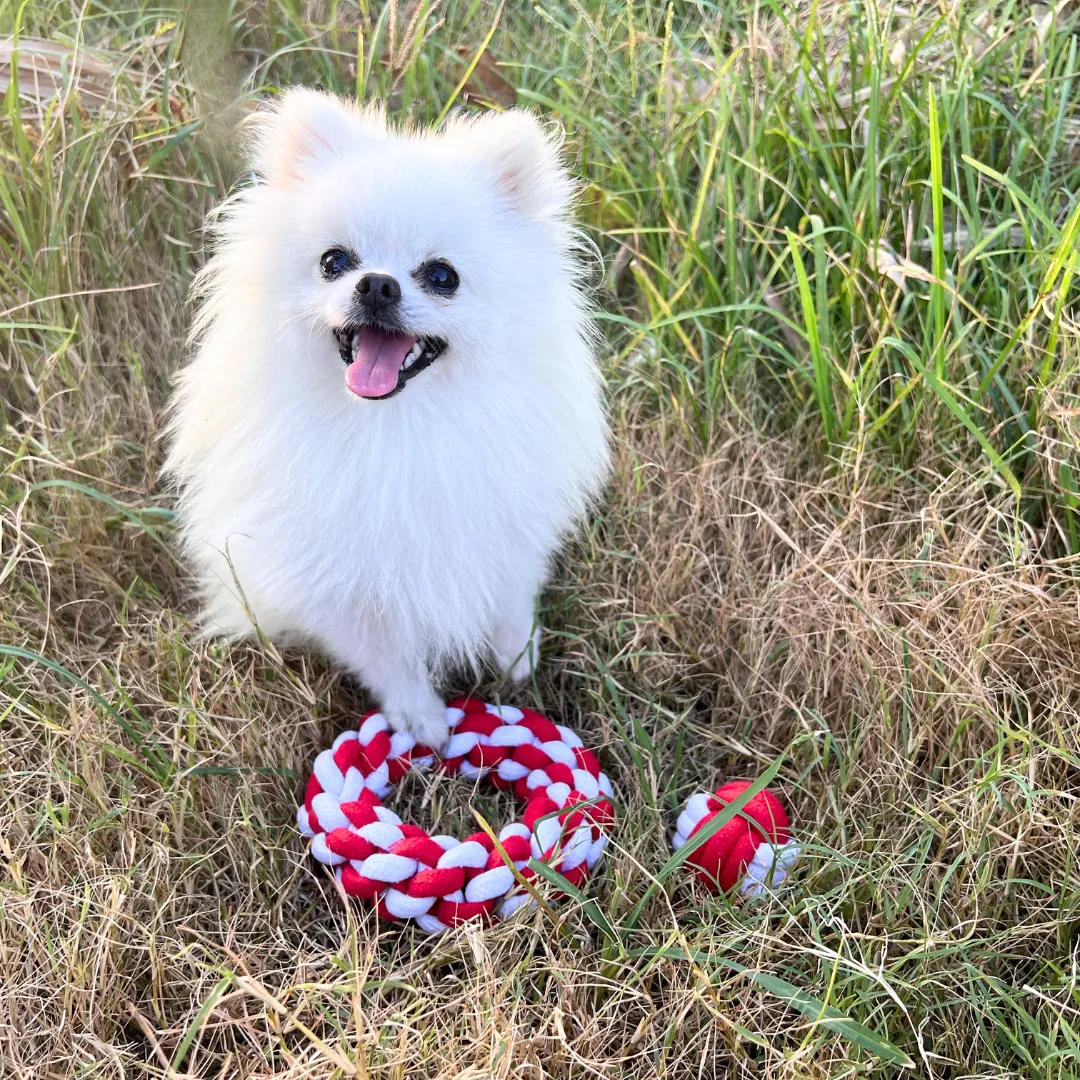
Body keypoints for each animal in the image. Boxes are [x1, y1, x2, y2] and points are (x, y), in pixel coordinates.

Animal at [166, 90, 609, 751]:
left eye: (443, 275)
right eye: (334, 261)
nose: (376, 284)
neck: (398, 429)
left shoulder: (507, 526)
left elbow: (512, 596)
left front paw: (517, 659)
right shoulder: (338, 578)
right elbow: (385, 656)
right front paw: (421, 718)